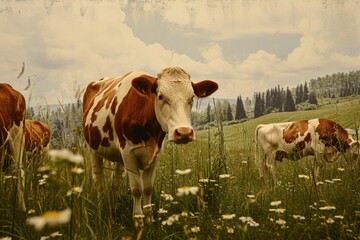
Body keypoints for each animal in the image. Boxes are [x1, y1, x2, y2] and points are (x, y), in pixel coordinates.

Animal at [83, 66, 218, 228]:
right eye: (160, 96)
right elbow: (137, 189)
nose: (184, 132)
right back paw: (102, 205)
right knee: (99, 180)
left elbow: (147, 188)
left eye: (192, 97)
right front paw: (138, 221)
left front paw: (149, 219)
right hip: (93, 148)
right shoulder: (128, 152)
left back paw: (114, 202)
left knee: (116, 179)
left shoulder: (156, 154)